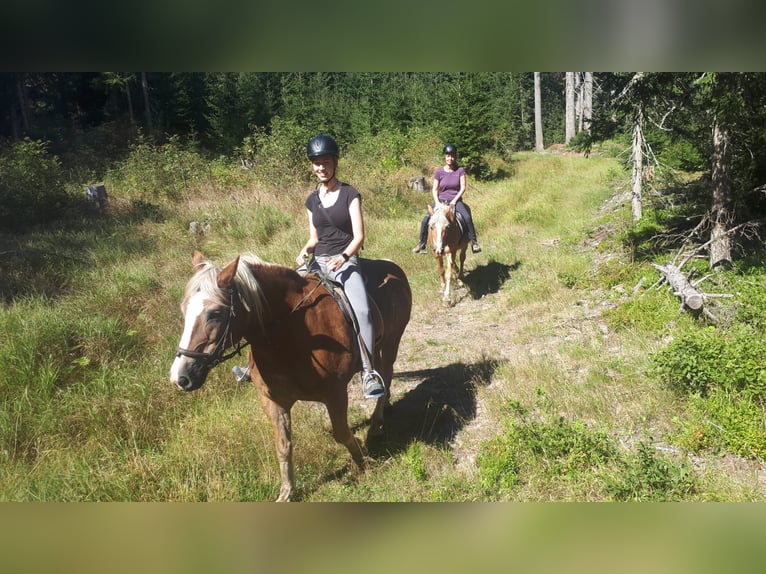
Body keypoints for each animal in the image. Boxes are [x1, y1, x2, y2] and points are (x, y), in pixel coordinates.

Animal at [170, 250, 414, 502]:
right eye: (184, 309)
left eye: (215, 314)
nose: (181, 377)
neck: (288, 336)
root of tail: (392, 267)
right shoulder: (273, 400)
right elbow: (283, 446)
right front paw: (287, 492)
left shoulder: (335, 394)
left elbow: (341, 433)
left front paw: (362, 462)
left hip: (392, 341)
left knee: (387, 373)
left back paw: (377, 422)